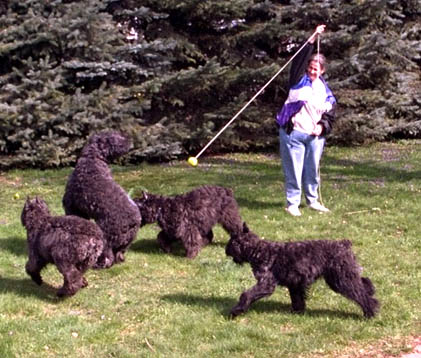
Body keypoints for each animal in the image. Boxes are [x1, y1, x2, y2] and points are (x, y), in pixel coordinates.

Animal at [62, 130, 141, 268]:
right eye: (115, 137)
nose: (130, 141)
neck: (93, 159)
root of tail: (132, 223)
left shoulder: (72, 206)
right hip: (124, 244)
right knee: (118, 255)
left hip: (105, 239)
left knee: (107, 257)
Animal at [225, 224, 378, 318]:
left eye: (231, 242)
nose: (226, 250)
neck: (258, 250)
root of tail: (344, 243)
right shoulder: (295, 284)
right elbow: (297, 299)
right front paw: (297, 312)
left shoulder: (266, 284)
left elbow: (246, 295)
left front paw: (236, 311)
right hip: (340, 277)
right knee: (364, 283)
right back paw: (370, 292)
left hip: (341, 280)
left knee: (361, 294)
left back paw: (370, 312)